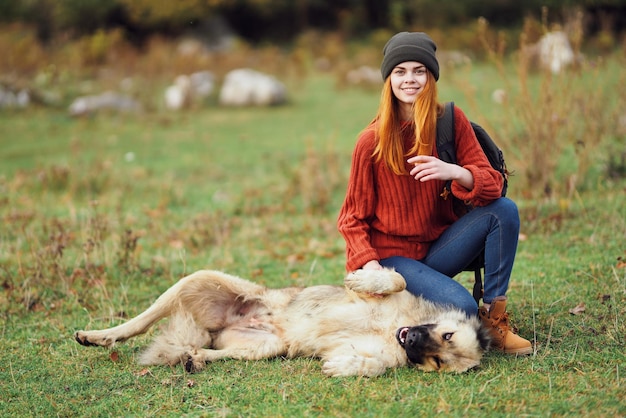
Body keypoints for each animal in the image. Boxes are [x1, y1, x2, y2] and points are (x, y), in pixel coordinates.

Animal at [74, 270, 488, 378]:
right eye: (446, 334)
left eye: (439, 361)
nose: (413, 341)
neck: (397, 326)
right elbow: (395, 279)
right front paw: (365, 278)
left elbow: (374, 364)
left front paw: (347, 366)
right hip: (198, 280)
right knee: (138, 322)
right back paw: (95, 336)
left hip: (265, 346)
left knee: (208, 350)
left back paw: (198, 358)